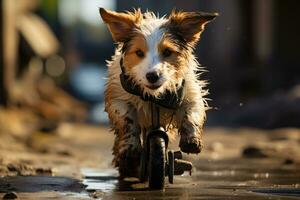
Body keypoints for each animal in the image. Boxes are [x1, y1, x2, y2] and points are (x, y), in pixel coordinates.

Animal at [99, 7, 217, 177]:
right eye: (139, 53)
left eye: (167, 52)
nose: (152, 76)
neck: (154, 97)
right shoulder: (118, 99)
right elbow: (127, 119)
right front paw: (130, 147)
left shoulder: (189, 93)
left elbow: (191, 114)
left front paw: (191, 140)